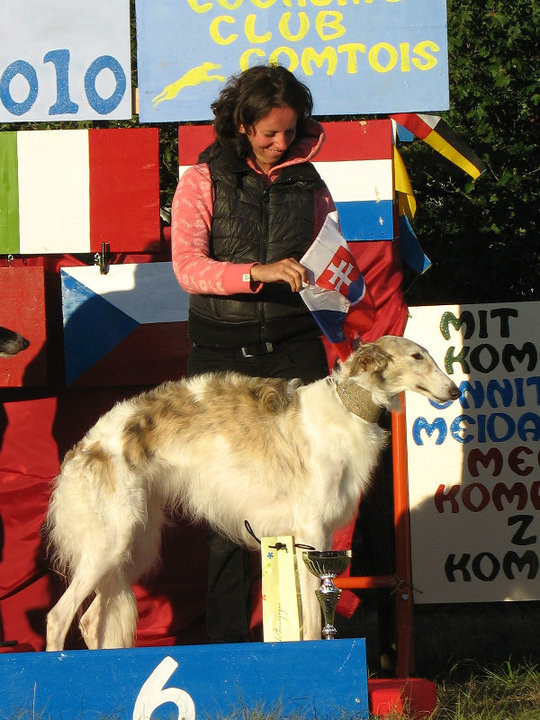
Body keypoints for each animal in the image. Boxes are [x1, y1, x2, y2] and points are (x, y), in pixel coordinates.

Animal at [44, 335, 460, 650]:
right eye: (417, 357)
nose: (455, 390)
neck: (345, 409)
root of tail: (85, 446)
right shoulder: (312, 531)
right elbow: (313, 617)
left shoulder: (312, 538)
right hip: (112, 540)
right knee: (58, 616)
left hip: (133, 546)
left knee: (92, 619)